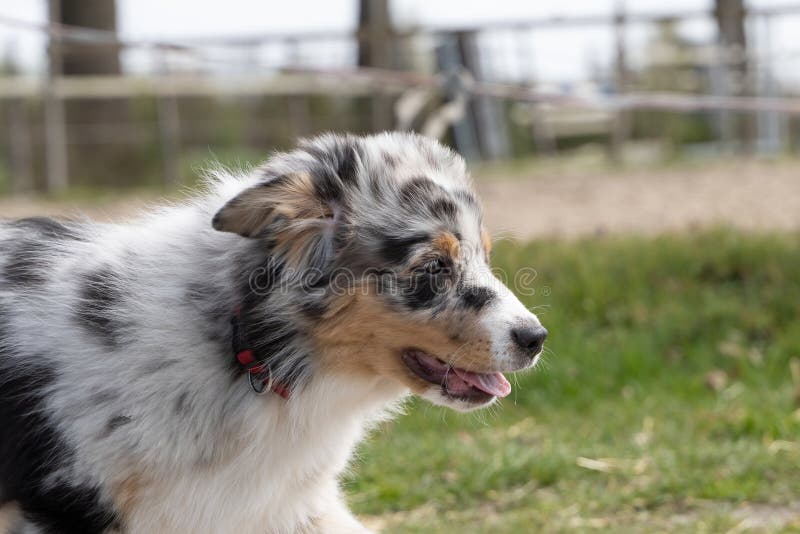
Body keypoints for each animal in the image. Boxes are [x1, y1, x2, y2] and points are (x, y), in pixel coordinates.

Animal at [0, 132, 548, 532]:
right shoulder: (68, 503)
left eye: (486, 256)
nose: (536, 338)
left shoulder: (289, 505)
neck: (240, 346)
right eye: (434, 267)